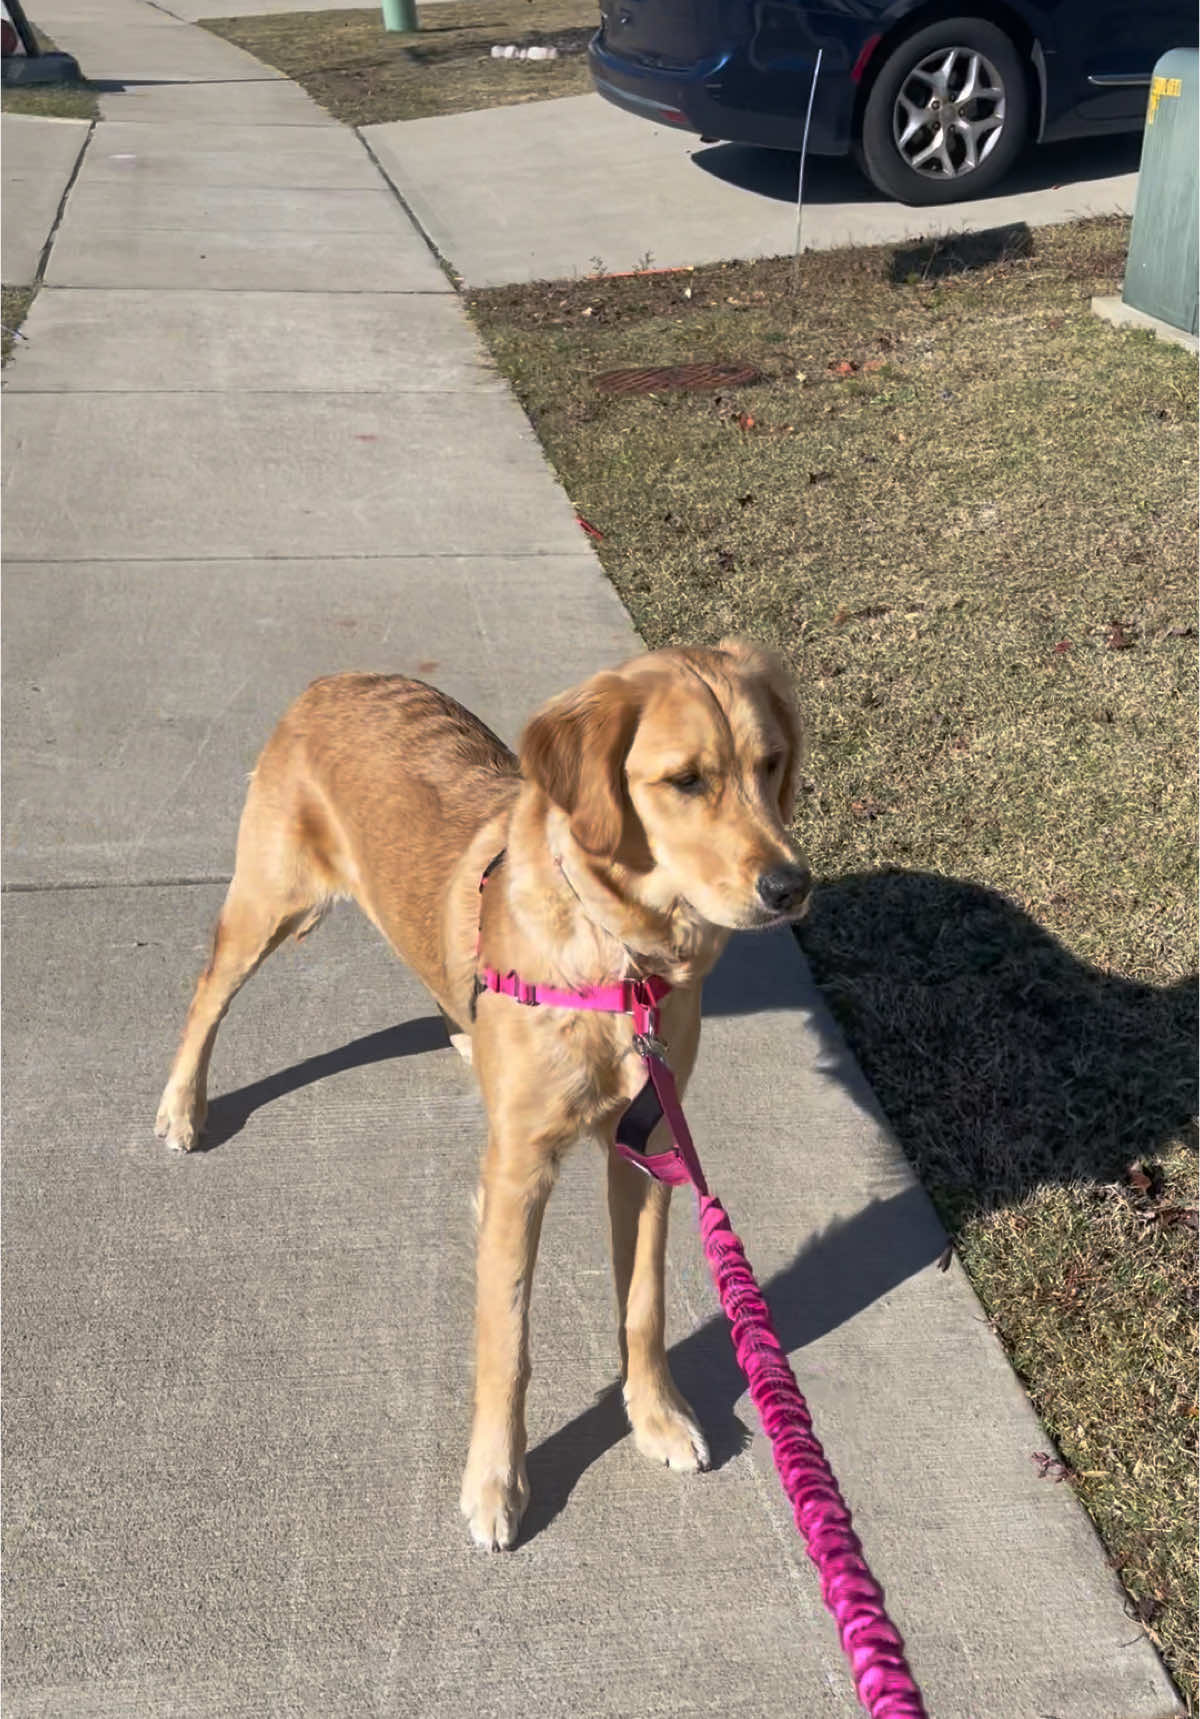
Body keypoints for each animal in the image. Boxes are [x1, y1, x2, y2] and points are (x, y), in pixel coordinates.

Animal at [153, 639, 808, 1553]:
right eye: (686, 780)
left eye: (771, 762)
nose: (792, 886)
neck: (619, 959)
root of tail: (333, 679)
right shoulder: (517, 1171)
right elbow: (507, 1340)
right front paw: (496, 1480)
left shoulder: (648, 1148)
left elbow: (642, 1303)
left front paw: (655, 1416)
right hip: (267, 902)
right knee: (208, 990)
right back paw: (183, 1101)